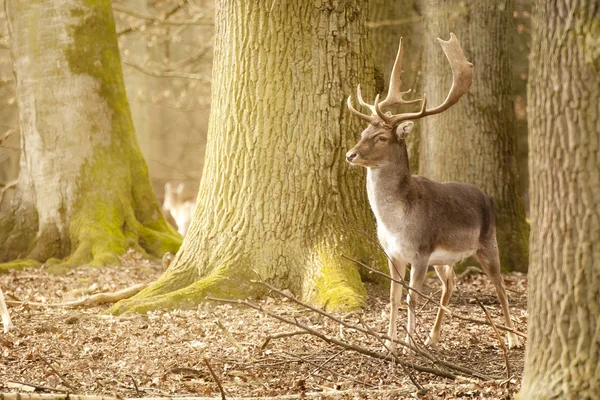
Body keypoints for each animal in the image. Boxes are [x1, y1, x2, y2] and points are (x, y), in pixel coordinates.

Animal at [346, 35, 520, 354]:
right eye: (363, 132)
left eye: (382, 137)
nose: (350, 154)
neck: (395, 222)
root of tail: (488, 197)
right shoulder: (392, 254)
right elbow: (393, 299)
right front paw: (389, 345)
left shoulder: (421, 250)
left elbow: (411, 298)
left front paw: (407, 346)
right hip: (444, 260)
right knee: (449, 285)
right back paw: (433, 337)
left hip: (488, 242)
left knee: (501, 287)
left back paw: (513, 338)